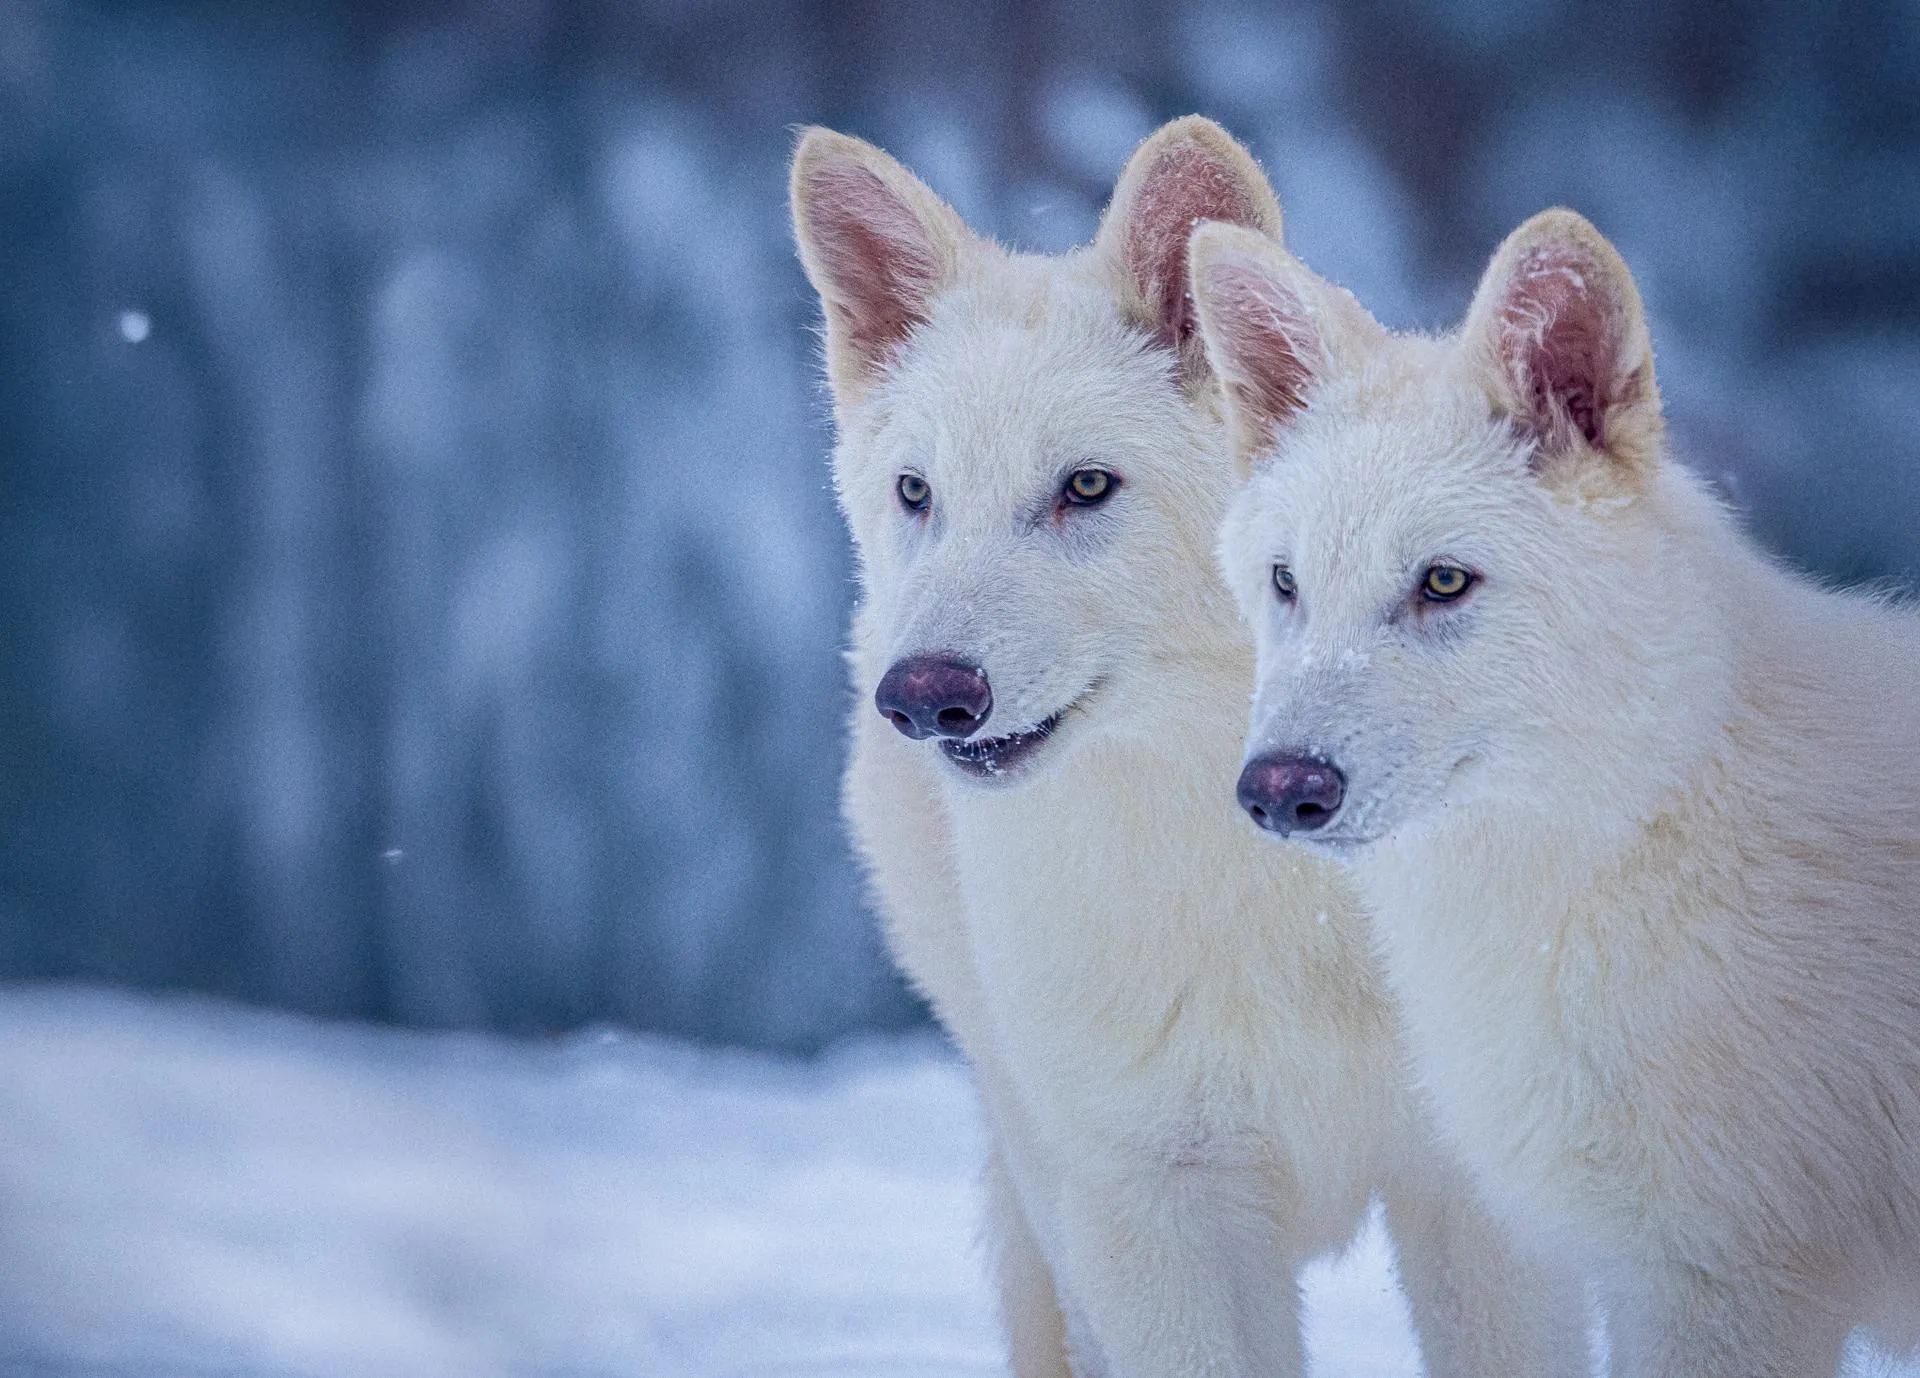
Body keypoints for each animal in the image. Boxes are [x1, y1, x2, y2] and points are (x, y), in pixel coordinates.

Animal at [789, 117, 1582, 1378]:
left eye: (1086, 486)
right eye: (918, 492)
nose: (923, 697)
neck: (1272, 890)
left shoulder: (1478, 1199)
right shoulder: (1151, 1211)